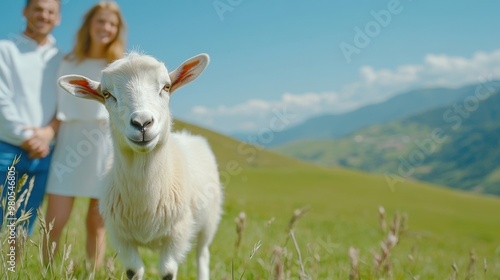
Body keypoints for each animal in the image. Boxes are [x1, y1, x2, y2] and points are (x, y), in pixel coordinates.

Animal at [56, 53, 223, 280]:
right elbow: (134, 271)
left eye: (166, 87)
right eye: (107, 94)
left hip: (209, 220)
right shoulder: (120, 236)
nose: (142, 123)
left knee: (202, 255)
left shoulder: (177, 234)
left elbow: (168, 272)